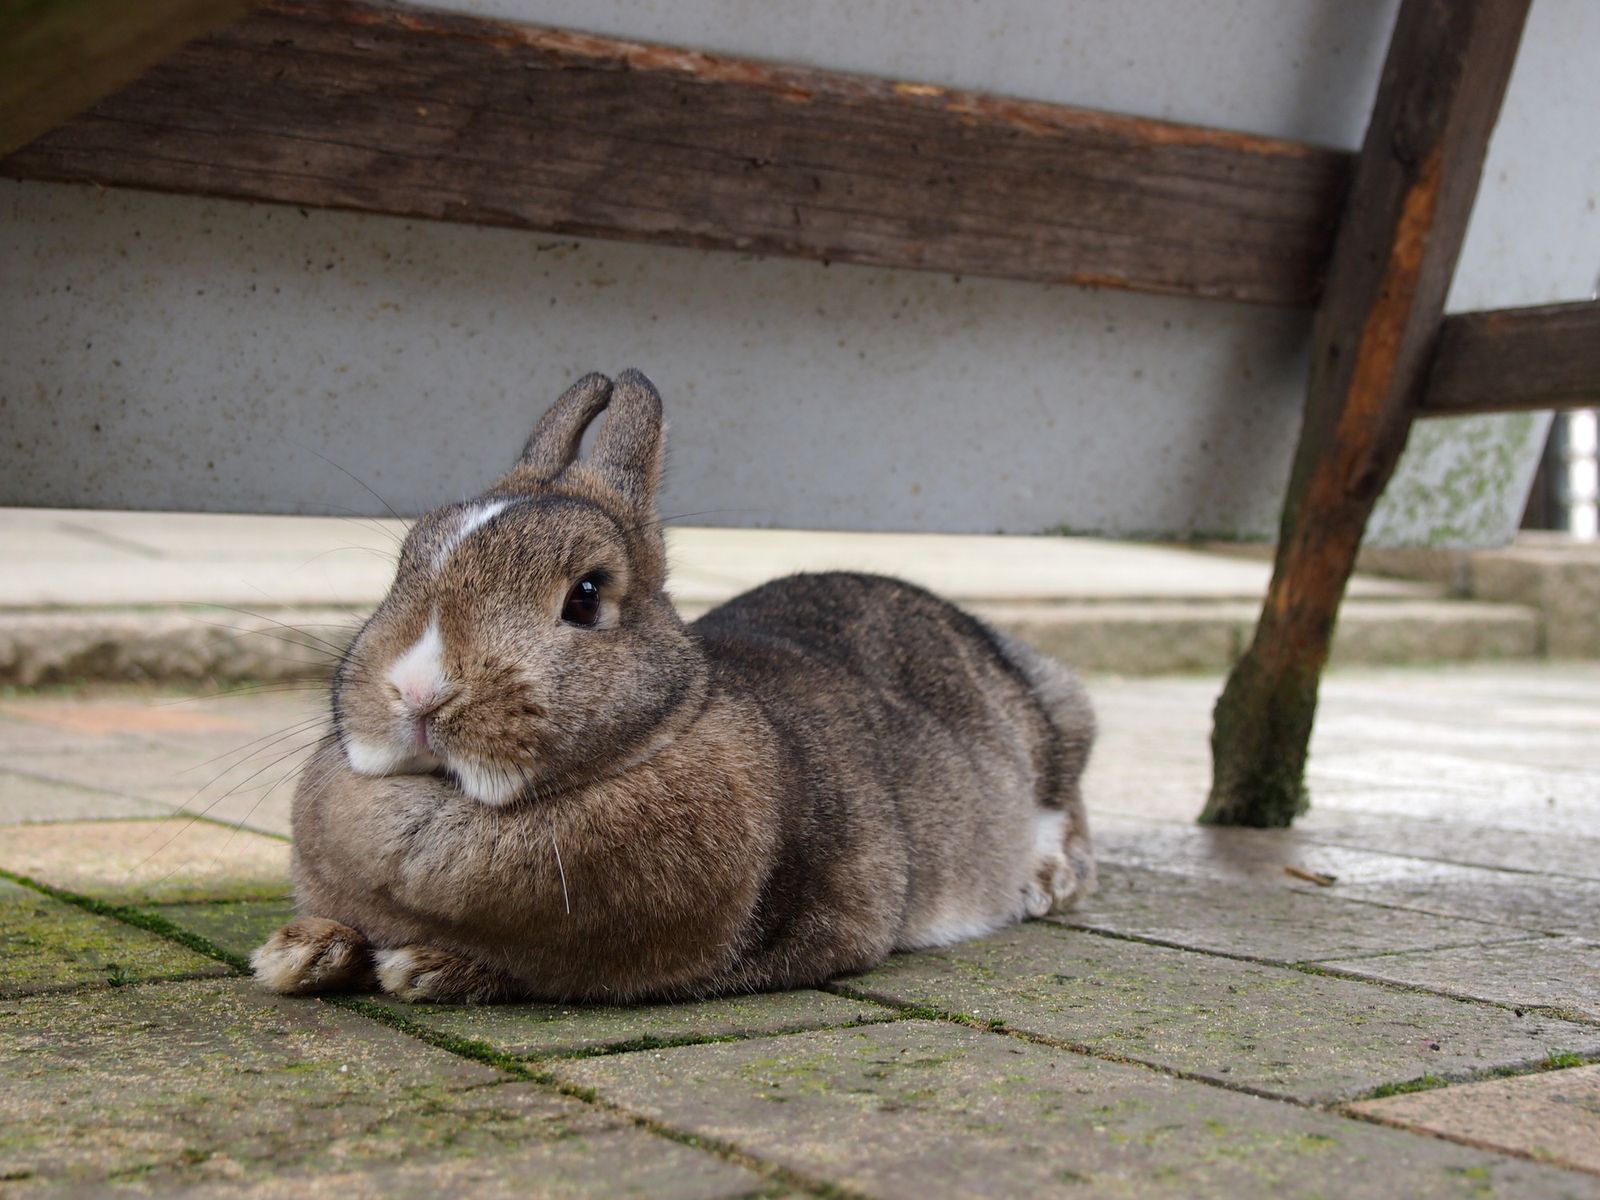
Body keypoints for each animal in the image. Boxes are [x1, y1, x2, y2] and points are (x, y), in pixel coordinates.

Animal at [252, 369, 1100, 1004]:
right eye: (403, 566)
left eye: (586, 596)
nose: (417, 691)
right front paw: (297, 953)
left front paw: (425, 967)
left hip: (1057, 724)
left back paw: (1045, 883)